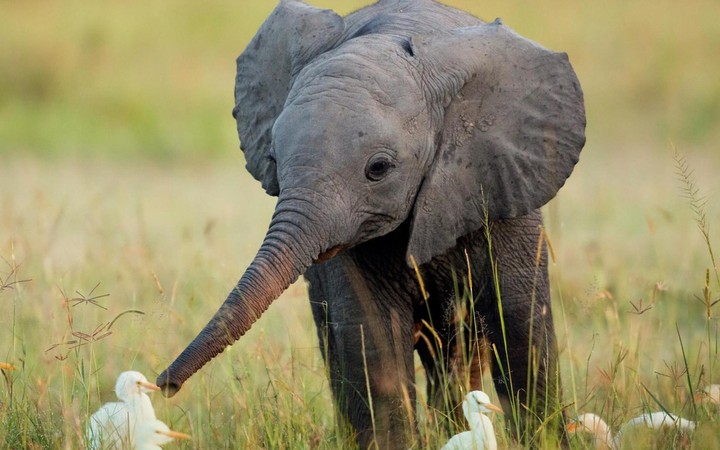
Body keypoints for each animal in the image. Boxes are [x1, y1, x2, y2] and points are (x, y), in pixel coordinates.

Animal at [157, 0, 585, 448]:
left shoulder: (503, 182)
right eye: (273, 159)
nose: (164, 385)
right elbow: (372, 338)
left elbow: (519, 323)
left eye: (378, 168)